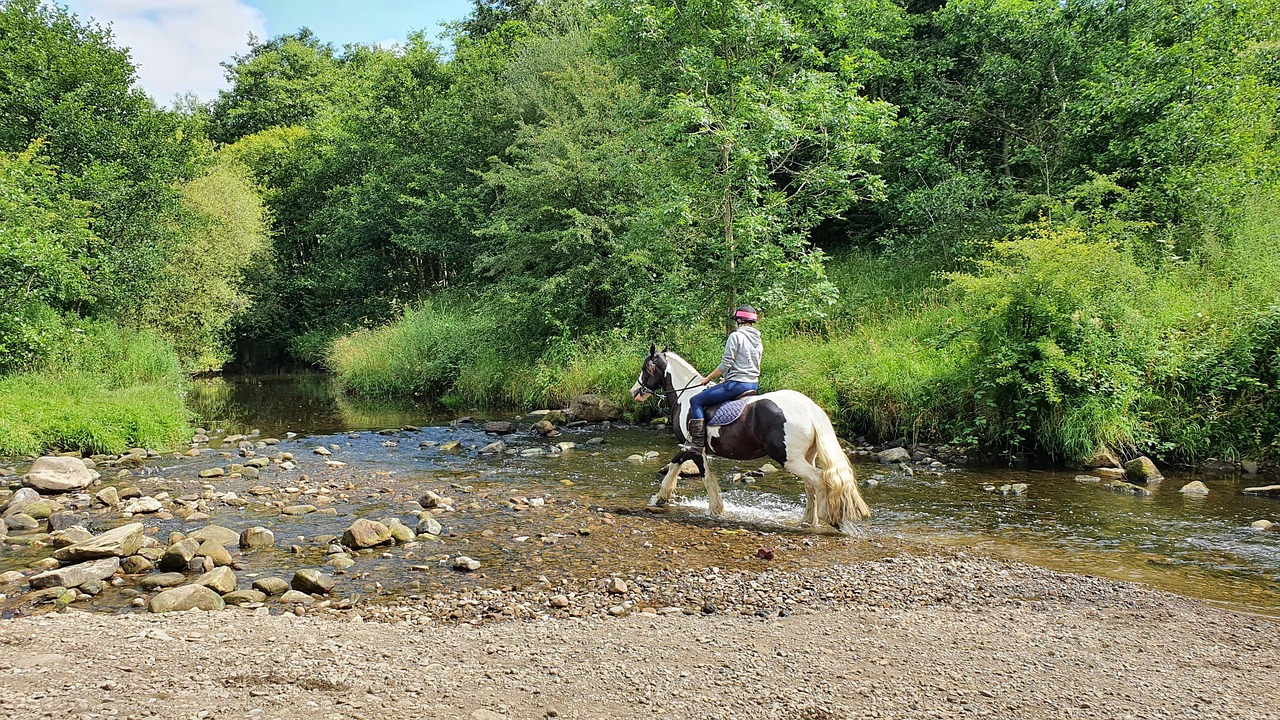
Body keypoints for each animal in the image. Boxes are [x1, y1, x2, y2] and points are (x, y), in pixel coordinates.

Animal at [630, 344, 871, 534]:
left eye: (644, 368)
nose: (634, 392)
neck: (687, 395)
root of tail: (810, 408)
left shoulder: (694, 447)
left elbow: (700, 474)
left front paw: (712, 509)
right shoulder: (692, 448)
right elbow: (677, 464)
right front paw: (662, 497)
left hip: (788, 458)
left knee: (819, 479)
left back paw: (826, 517)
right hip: (805, 457)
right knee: (810, 483)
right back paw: (807, 521)